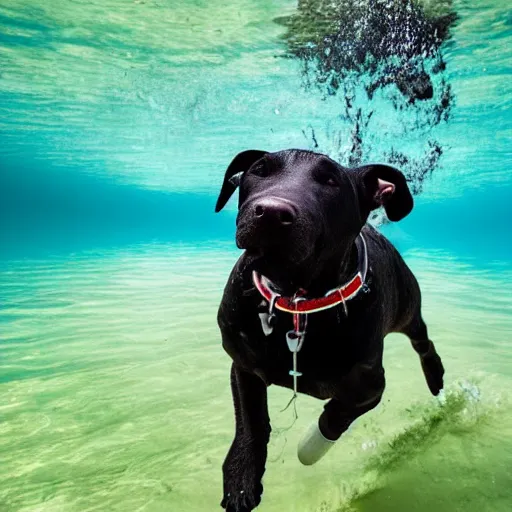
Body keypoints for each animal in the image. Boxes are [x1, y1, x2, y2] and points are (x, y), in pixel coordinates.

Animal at [215, 149, 444, 512]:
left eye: (331, 181)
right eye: (259, 170)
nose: (272, 212)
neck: (297, 302)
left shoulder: (371, 384)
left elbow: (339, 409)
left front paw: (310, 447)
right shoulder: (243, 362)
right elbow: (251, 420)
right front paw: (241, 477)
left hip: (408, 308)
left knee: (423, 341)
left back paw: (435, 375)